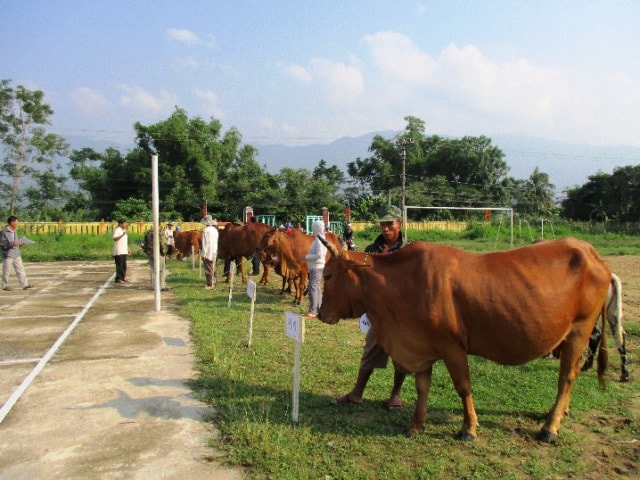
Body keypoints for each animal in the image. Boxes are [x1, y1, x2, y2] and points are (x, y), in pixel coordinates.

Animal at [318, 238, 612, 444]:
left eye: (329, 275)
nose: (321, 314)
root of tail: (592, 252)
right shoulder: (421, 345)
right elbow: (422, 387)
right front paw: (416, 424)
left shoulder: (452, 347)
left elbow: (463, 387)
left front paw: (468, 428)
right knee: (570, 377)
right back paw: (558, 414)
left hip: (579, 331)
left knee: (566, 378)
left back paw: (550, 428)